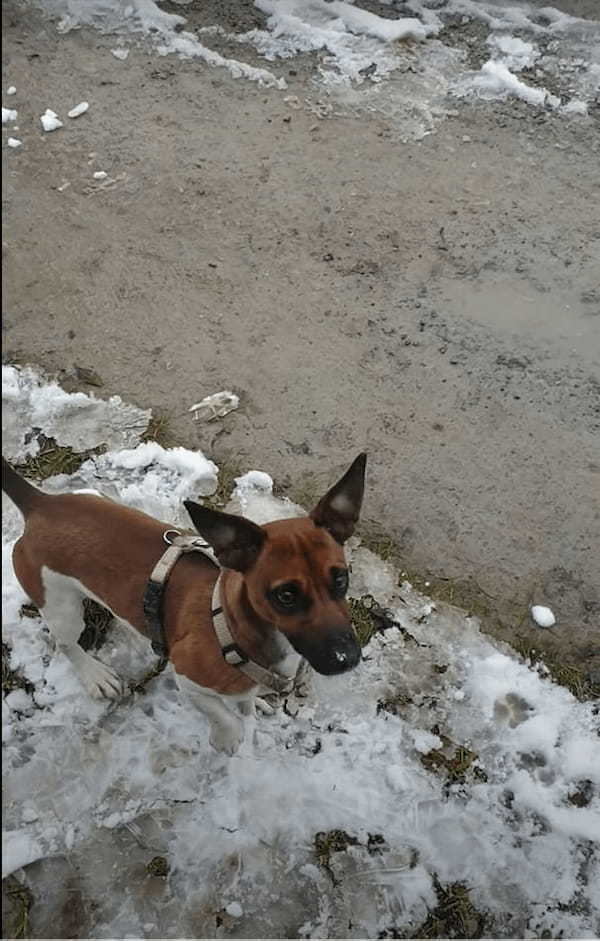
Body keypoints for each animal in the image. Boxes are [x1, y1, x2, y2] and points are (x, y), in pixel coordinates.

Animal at [2, 452, 366, 752]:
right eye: (286, 595)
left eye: (340, 579)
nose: (346, 659)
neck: (230, 625)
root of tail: (40, 504)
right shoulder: (188, 678)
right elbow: (224, 715)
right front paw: (228, 736)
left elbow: (243, 703)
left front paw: (254, 705)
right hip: (61, 607)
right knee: (66, 643)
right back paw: (95, 675)